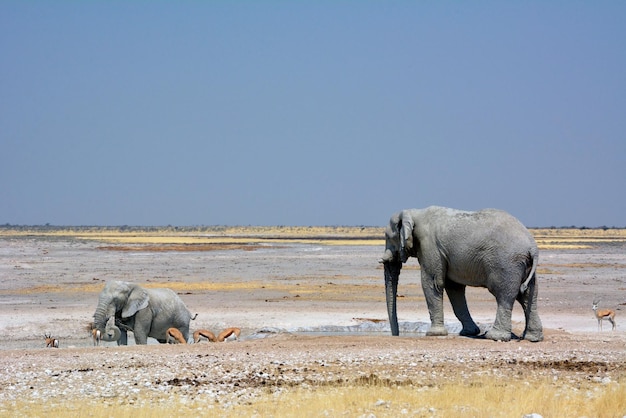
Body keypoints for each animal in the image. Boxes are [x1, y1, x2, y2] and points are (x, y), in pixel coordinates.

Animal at [380, 204, 540, 342]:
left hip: (506, 263)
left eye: (388, 237)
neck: (414, 212)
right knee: (528, 295)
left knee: (504, 294)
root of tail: (532, 247)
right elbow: (454, 288)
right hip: (522, 265)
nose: (396, 335)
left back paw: (494, 336)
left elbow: (432, 282)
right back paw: (532, 338)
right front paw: (469, 332)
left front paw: (434, 334)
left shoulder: (429, 246)